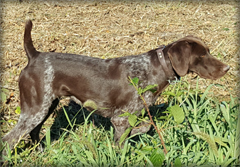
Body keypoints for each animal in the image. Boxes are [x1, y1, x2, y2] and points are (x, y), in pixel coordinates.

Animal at [1, 19, 230, 153]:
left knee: (32, 132)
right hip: (36, 110)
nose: (227, 68)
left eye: (209, 51)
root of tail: (34, 55)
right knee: (9, 139)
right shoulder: (120, 119)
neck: (154, 69)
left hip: (45, 106)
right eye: (202, 56)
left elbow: (143, 127)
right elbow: (125, 141)